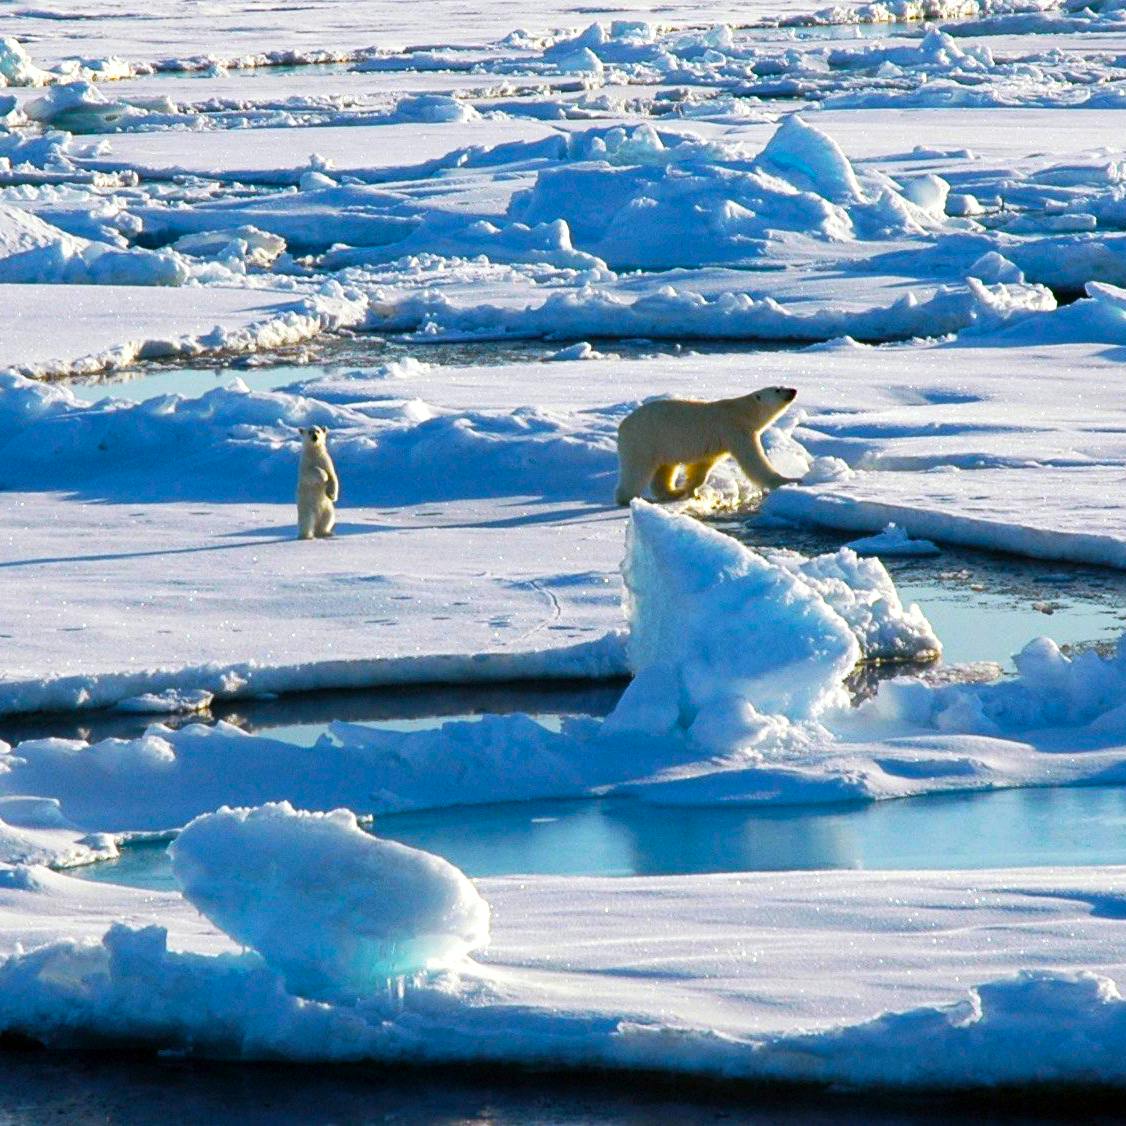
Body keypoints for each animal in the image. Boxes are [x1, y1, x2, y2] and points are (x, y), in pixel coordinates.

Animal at [617, 389, 801, 508]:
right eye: (778, 390)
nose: (793, 390)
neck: (742, 411)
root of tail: (623, 425)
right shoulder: (734, 430)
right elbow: (754, 461)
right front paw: (789, 480)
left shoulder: (718, 443)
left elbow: (702, 467)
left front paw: (691, 490)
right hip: (645, 440)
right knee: (637, 469)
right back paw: (626, 498)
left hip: (662, 445)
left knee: (665, 469)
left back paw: (673, 492)